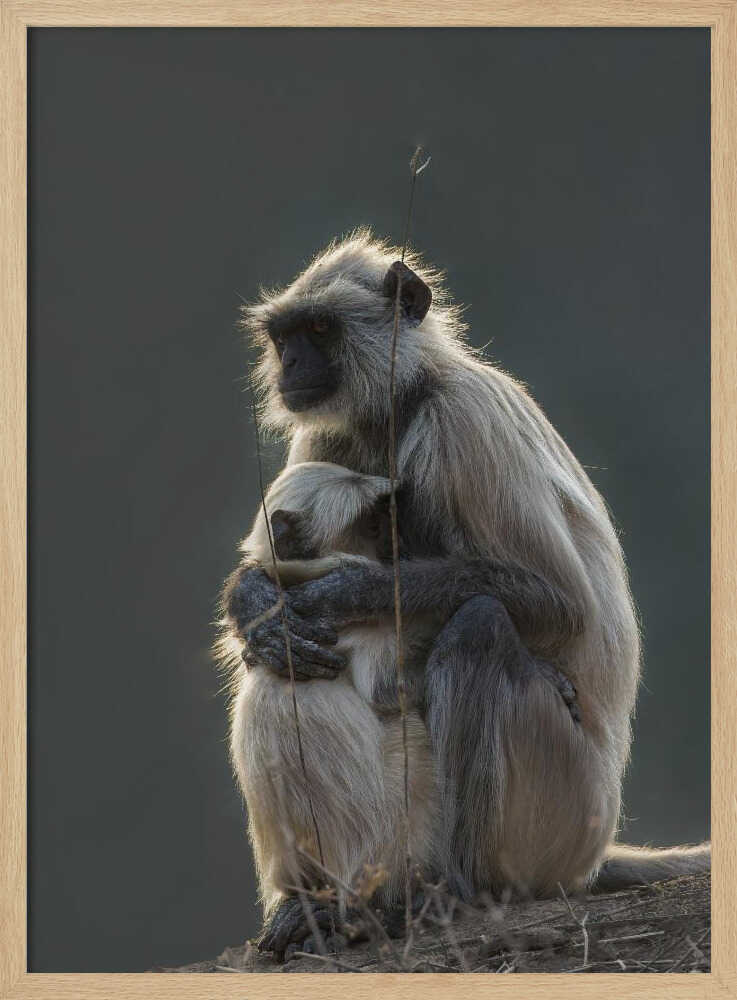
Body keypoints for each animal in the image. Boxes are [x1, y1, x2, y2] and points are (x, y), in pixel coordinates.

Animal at [222, 229, 710, 953]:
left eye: (319, 330)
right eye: (285, 337)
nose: (291, 365)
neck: (406, 399)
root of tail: (594, 851)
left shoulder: (463, 419)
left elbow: (560, 602)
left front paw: (341, 591)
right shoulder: (329, 432)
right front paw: (258, 606)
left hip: (563, 811)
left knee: (480, 622)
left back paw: (457, 893)